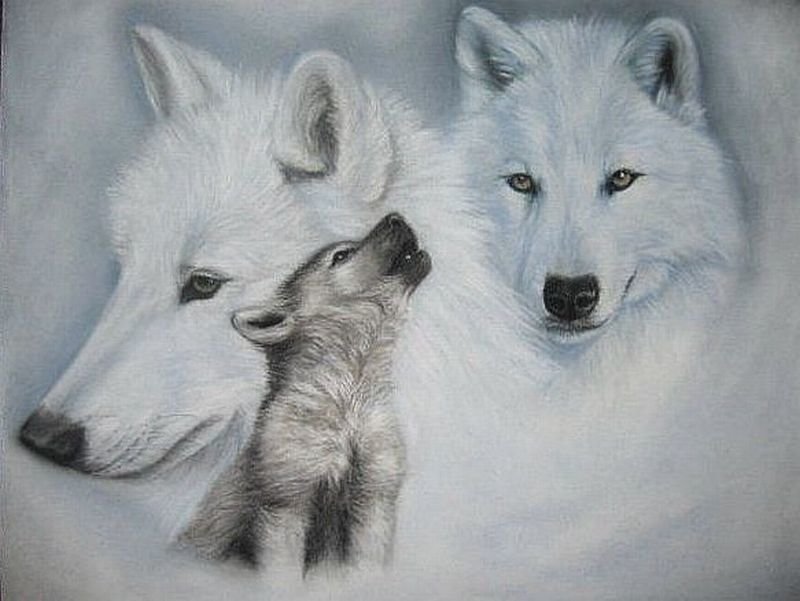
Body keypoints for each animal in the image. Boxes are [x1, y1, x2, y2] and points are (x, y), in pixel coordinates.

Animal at [182, 213, 430, 574]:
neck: (348, 396)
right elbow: (281, 571)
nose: (396, 216)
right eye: (341, 256)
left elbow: (366, 565)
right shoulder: (284, 505)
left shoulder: (375, 500)